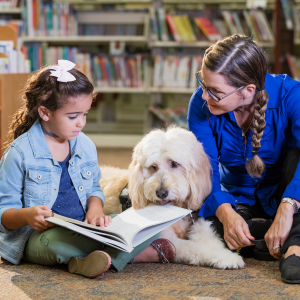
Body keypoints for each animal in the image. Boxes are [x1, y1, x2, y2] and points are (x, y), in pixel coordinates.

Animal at [100, 126, 244, 270]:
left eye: (174, 164)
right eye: (153, 167)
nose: (161, 193)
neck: (177, 205)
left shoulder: (198, 221)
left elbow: (208, 237)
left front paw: (223, 251)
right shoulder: (170, 239)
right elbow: (196, 247)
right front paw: (227, 257)